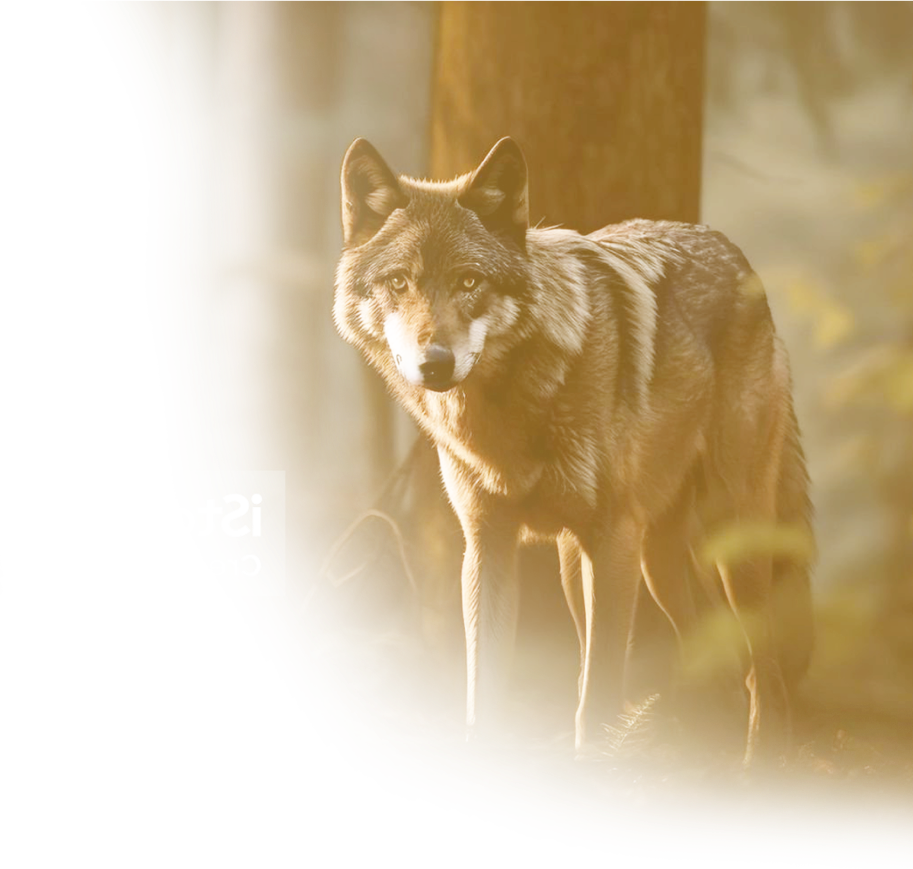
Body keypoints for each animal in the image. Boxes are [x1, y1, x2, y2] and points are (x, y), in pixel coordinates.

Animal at [333, 137, 814, 767]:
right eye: (397, 284)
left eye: (468, 282)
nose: (434, 364)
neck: (506, 416)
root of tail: (736, 254)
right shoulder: (488, 544)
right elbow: (484, 689)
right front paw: (486, 759)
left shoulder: (612, 538)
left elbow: (600, 691)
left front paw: (594, 773)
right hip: (616, 562)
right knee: (709, 652)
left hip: (723, 541)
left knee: (765, 671)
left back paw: (760, 768)